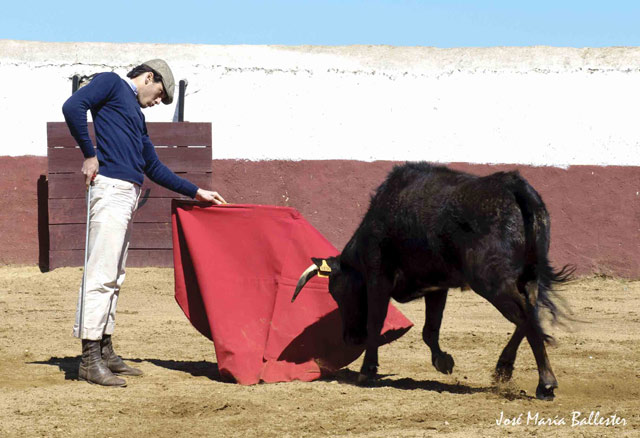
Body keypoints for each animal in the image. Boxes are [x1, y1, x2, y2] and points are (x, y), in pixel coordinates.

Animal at [292, 162, 572, 400]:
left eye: (337, 292)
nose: (350, 338)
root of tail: (512, 185)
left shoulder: (379, 279)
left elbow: (376, 322)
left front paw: (367, 371)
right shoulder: (437, 286)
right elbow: (430, 329)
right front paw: (443, 361)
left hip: (492, 281)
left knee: (525, 315)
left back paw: (545, 383)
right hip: (528, 276)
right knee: (530, 313)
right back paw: (504, 369)